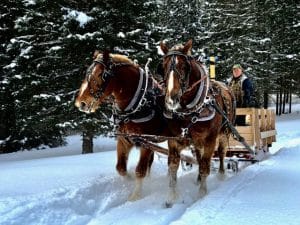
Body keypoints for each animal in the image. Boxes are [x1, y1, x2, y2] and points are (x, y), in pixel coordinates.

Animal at [74, 50, 169, 200]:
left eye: (101, 74)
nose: (81, 103)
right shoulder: (124, 140)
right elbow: (120, 168)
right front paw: (129, 180)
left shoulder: (146, 142)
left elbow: (140, 170)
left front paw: (135, 196)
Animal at [161, 39, 236, 207]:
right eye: (163, 66)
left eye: (184, 67)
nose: (171, 99)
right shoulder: (174, 139)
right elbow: (173, 167)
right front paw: (171, 197)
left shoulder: (210, 139)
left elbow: (205, 166)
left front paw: (202, 193)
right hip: (197, 141)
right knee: (199, 156)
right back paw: (198, 179)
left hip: (224, 132)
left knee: (221, 153)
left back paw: (221, 174)